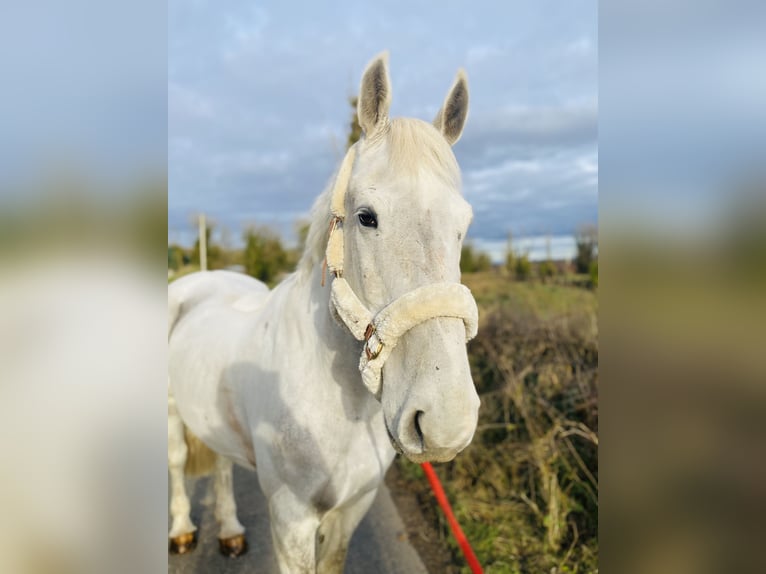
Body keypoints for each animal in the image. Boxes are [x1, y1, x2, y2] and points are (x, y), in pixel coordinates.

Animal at [170, 51, 480, 572]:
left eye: (464, 224)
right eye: (366, 216)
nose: (446, 421)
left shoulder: (351, 511)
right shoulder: (290, 521)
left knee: (221, 466)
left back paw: (230, 532)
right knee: (176, 463)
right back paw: (180, 531)